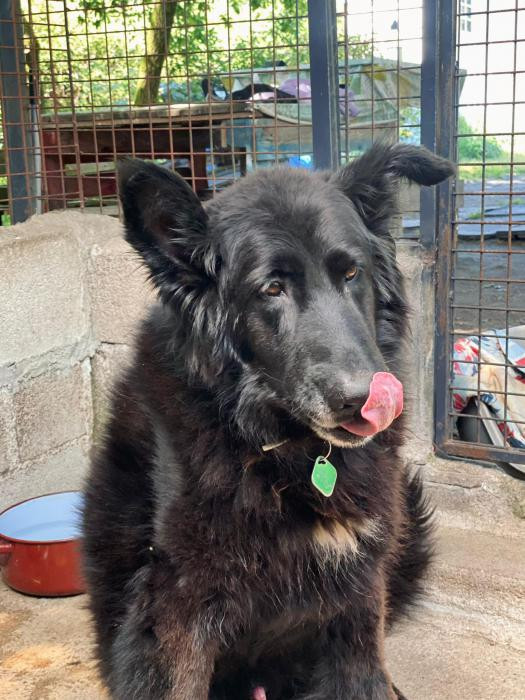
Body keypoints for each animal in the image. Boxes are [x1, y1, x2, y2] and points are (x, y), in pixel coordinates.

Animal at [82, 142, 454, 700]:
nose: (363, 399)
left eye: (352, 274)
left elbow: (362, 677)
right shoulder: (178, 609)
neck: (281, 451)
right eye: (272, 288)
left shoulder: (358, 593)